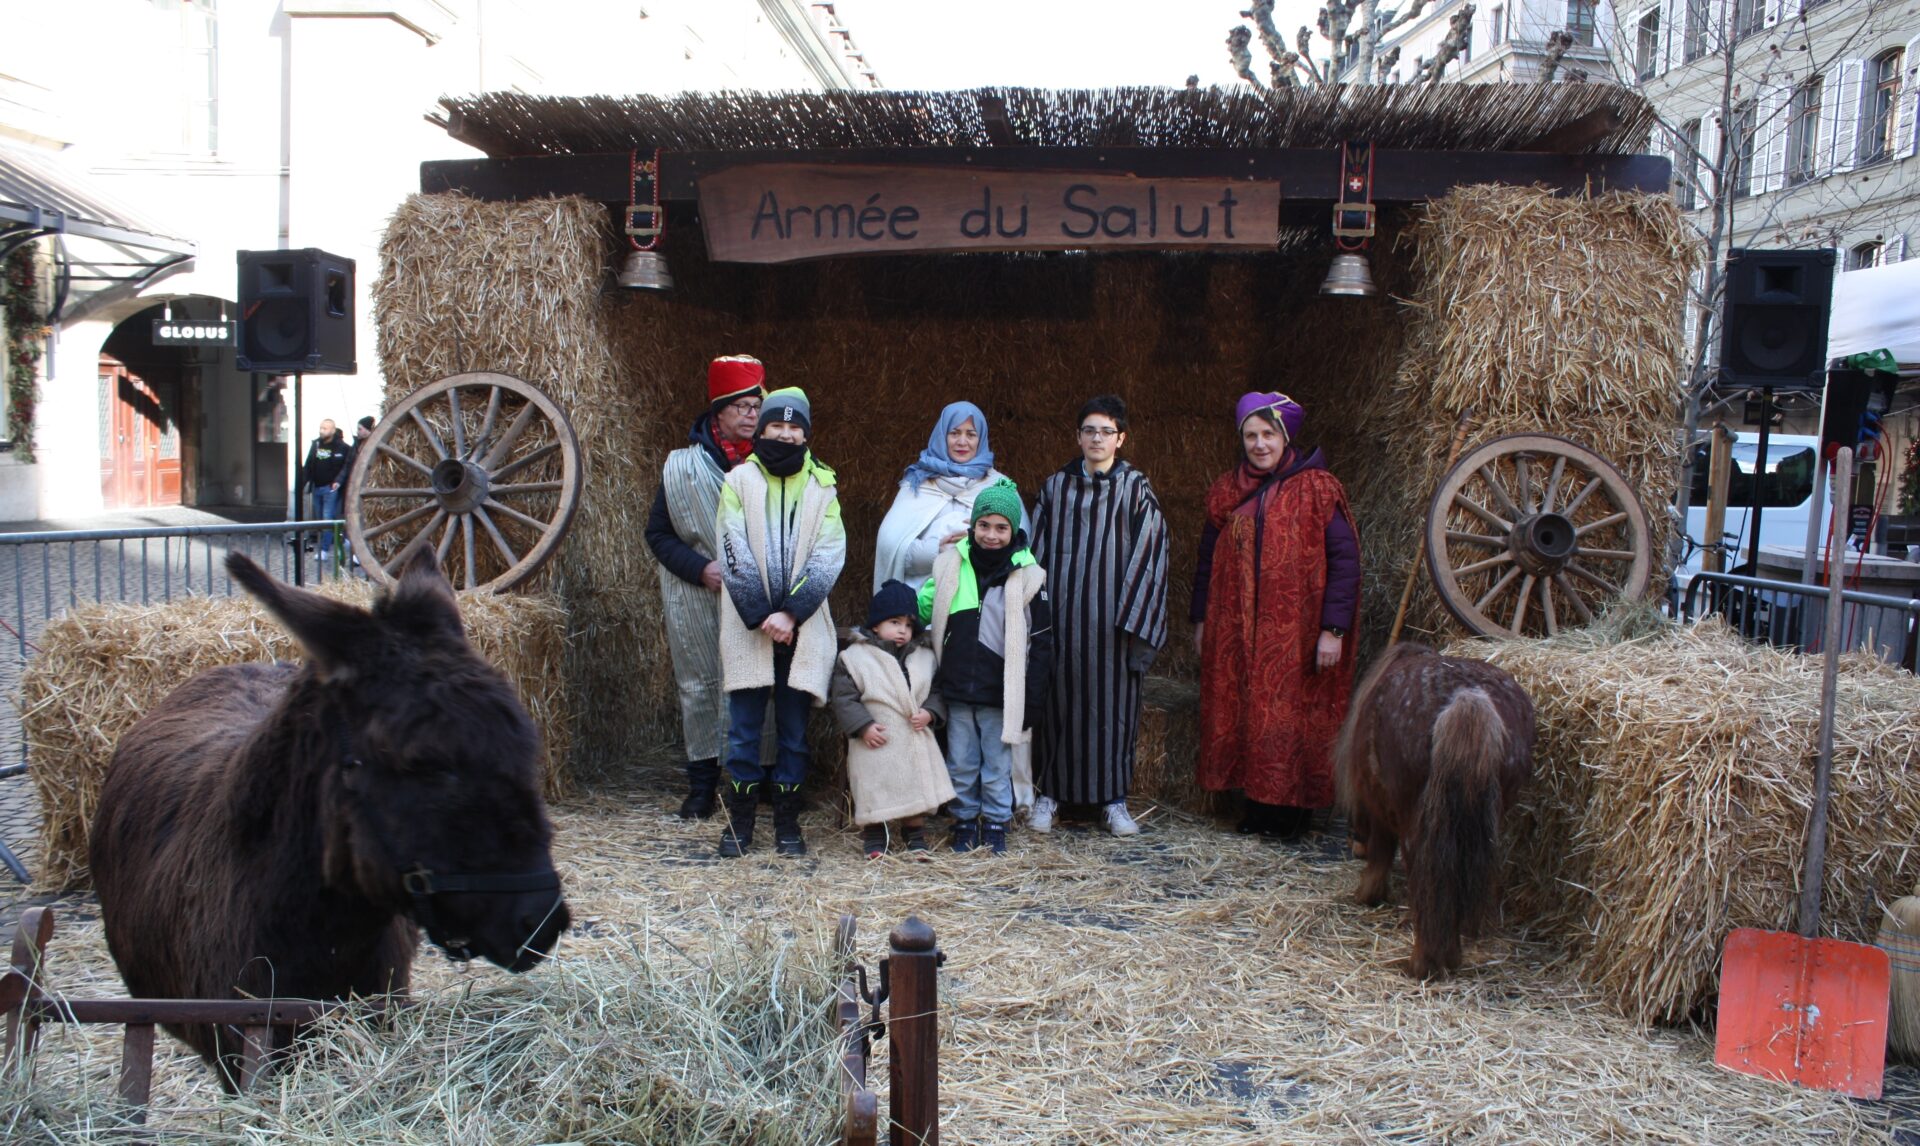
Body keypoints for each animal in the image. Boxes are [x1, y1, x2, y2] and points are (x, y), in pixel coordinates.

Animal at [1328, 637, 1536, 978]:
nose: (1354, 840)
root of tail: (1469, 699)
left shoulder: (1381, 812)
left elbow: (1381, 855)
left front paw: (1369, 893)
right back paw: (1450, 957)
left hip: (1418, 829)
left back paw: (1422, 963)